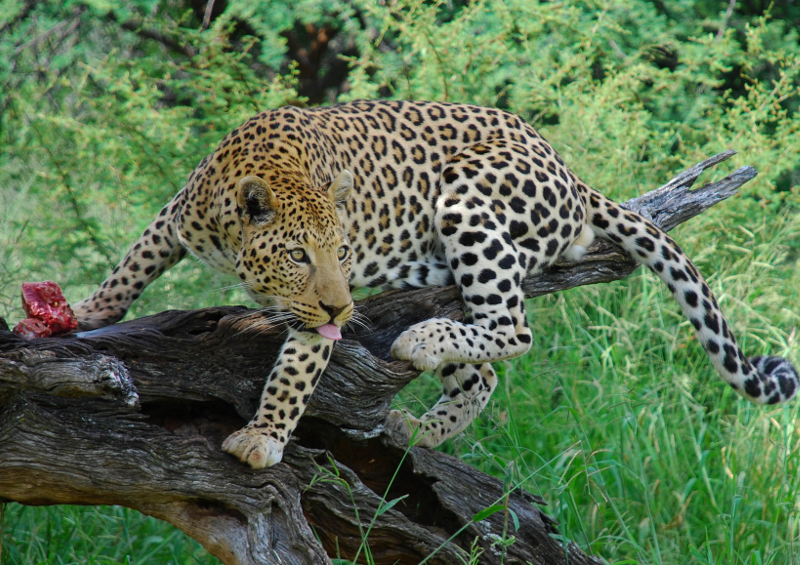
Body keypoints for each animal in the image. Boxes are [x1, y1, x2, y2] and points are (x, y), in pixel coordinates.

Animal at [73, 99, 799, 469]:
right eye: (300, 256)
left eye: (342, 251)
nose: (344, 304)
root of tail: (570, 172)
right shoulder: (176, 216)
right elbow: (133, 260)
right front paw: (83, 312)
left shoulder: (313, 318)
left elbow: (296, 369)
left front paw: (264, 435)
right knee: (485, 372)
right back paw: (419, 428)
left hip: (466, 195)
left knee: (512, 329)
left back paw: (422, 343)